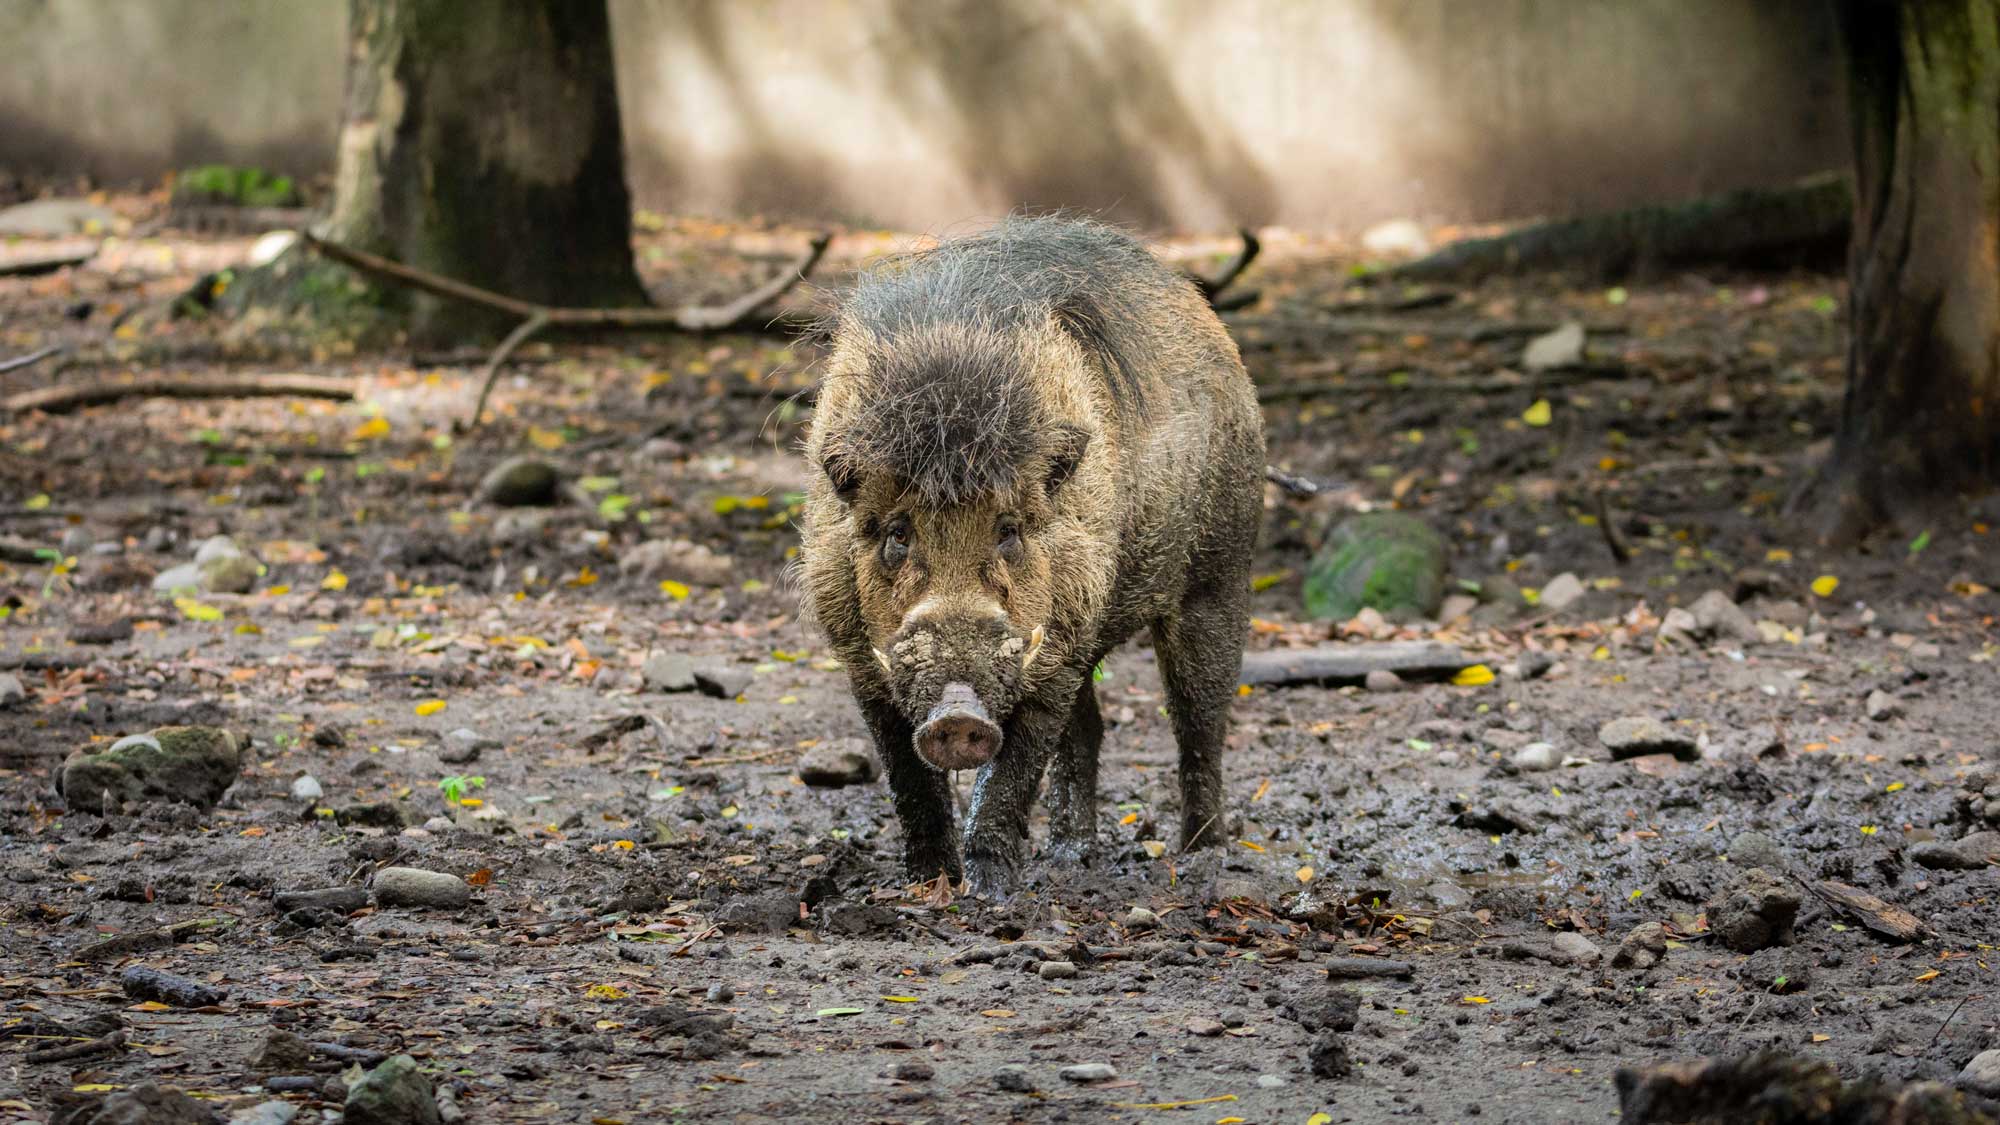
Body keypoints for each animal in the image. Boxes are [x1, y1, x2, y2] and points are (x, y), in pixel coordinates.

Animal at [800, 216, 1263, 895]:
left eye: (1010, 530)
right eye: (896, 533)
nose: (956, 718)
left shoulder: (1059, 645)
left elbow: (1017, 763)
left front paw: (991, 891)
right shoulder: (859, 656)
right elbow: (909, 779)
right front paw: (928, 886)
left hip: (1221, 567)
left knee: (1199, 716)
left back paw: (1205, 854)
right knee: (1091, 727)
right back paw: (1070, 857)